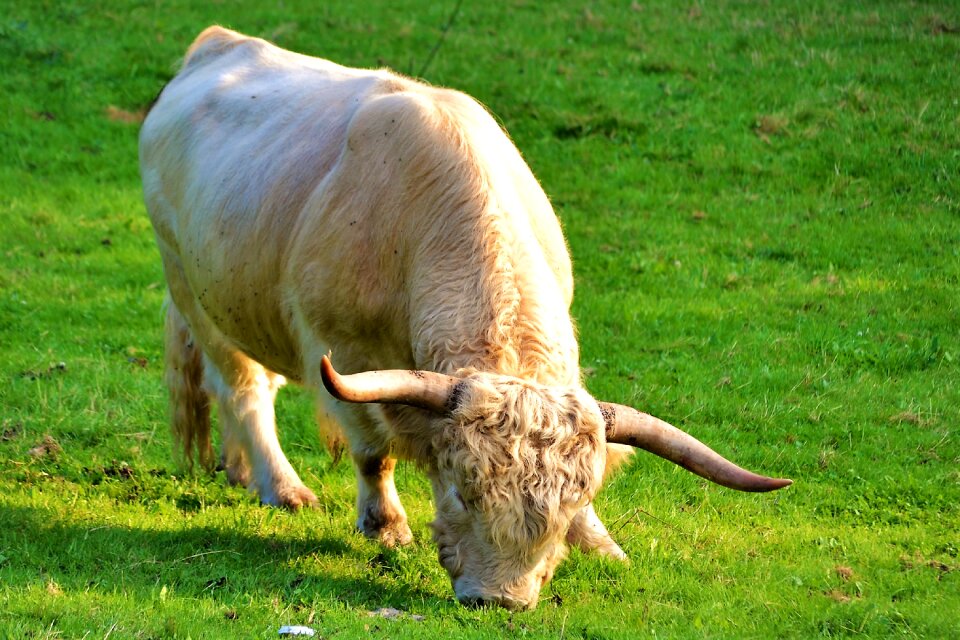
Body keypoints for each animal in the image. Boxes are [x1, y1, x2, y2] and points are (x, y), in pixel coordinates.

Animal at [141, 27, 788, 612]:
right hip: (190, 287)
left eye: (564, 511)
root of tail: (217, 43)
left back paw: (240, 470)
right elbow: (373, 450)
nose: (498, 599)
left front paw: (601, 544)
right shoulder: (343, 353)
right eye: (460, 492)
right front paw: (385, 525)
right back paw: (283, 486)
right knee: (243, 389)